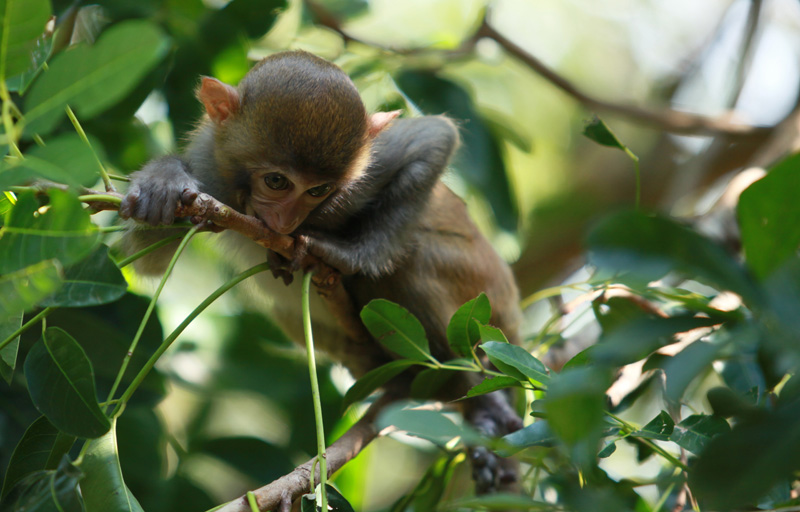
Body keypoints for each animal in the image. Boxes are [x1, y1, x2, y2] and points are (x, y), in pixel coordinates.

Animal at [117, 51, 520, 492]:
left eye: (318, 190)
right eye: (277, 181)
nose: (286, 220)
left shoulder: (371, 164)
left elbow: (433, 138)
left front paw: (345, 253)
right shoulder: (210, 171)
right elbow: (145, 257)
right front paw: (164, 179)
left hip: (484, 299)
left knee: (409, 262)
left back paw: (479, 397)